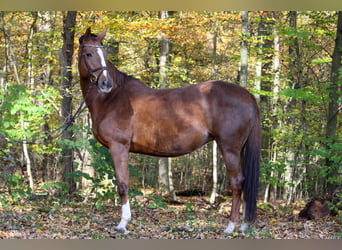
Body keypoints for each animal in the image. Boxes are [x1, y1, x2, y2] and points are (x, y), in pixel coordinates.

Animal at [77, 28, 260, 233]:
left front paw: (123, 223)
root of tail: (247, 95)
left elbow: (123, 184)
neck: (112, 98)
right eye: (88, 53)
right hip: (240, 149)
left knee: (237, 183)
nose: (105, 84)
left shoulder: (119, 147)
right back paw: (243, 225)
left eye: (104, 53)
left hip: (230, 148)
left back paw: (230, 226)